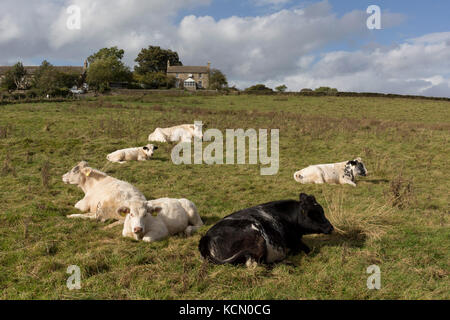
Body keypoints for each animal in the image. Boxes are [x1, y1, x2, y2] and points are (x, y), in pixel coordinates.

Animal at [199, 194, 332, 266]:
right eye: (314, 214)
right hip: (257, 238)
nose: (331, 227)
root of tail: (206, 237)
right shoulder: (294, 241)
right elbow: (307, 249)